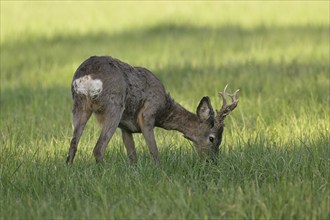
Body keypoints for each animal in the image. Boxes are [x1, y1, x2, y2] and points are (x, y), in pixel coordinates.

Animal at [65, 55, 238, 165]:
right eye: (212, 138)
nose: (212, 161)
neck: (163, 109)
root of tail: (88, 75)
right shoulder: (147, 116)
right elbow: (154, 152)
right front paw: (161, 172)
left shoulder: (125, 127)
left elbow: (132, 156)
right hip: (114, 106)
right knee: (98, 149)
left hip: (79, 105)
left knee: (73, 144)